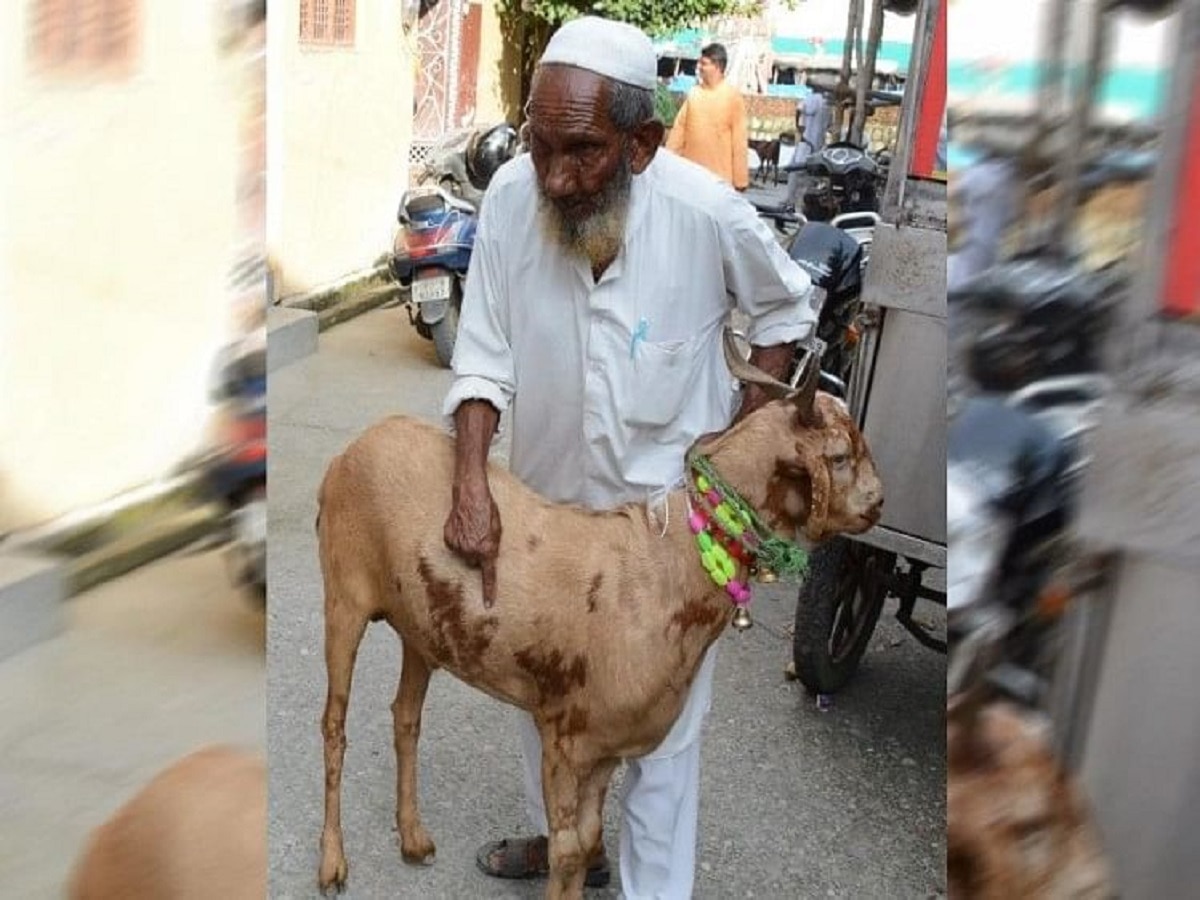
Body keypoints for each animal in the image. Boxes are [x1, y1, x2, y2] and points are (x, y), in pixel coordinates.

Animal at [314, 348, 888, 900]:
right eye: (839, 457)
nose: (879, 502)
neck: (667, 566)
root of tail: (356, 446)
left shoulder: (610, 747)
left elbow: (588, 842)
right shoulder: (566, 737)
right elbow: (567, 852)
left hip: (421, 624)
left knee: (405, 717)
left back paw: (412, 837)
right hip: (343, 594)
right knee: (334, 726)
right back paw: (332, 865)